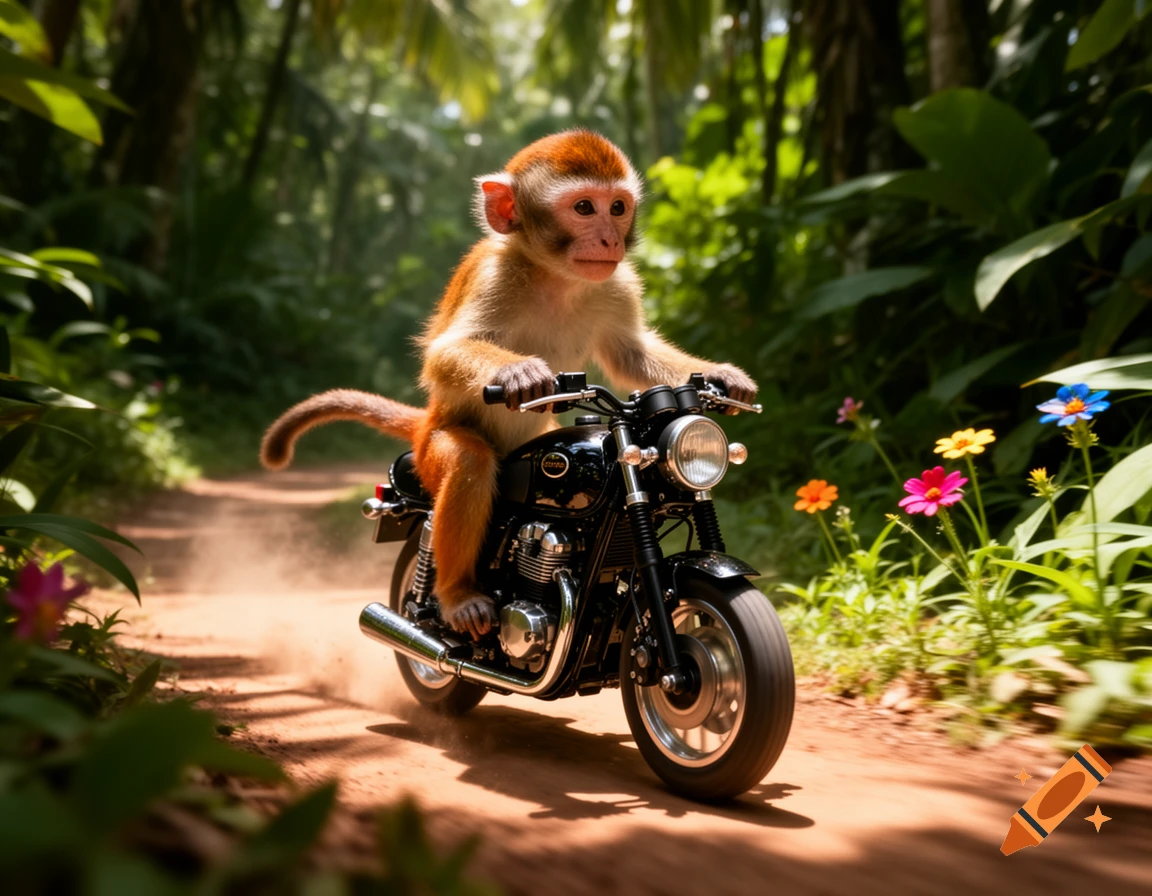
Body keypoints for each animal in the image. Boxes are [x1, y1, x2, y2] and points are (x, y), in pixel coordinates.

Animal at [261, 130, 757, 641]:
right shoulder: (492, 276)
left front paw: (722, 376)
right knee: (468, 463)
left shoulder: (617, 282)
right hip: (432, 449)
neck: (555, 276)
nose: (610, 237)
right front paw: (519, 375)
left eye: (617, 207)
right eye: (584, 208)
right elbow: (442, 354)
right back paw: (457, 598)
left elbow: (631, 355)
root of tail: (424, 424)